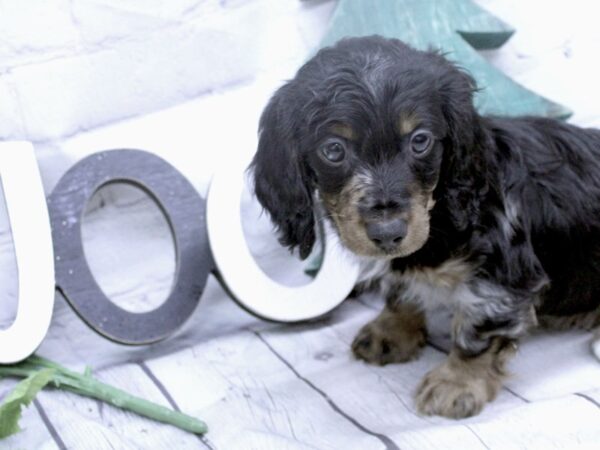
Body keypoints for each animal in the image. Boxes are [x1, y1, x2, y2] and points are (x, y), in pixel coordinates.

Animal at [250, 35, 600, 418]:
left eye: (420, 140)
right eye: (333, 150)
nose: (387, 233)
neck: (441, 214)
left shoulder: (500, 279)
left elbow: (477, 332)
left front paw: (456, 384)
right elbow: (400, 291)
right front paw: (391, 331)